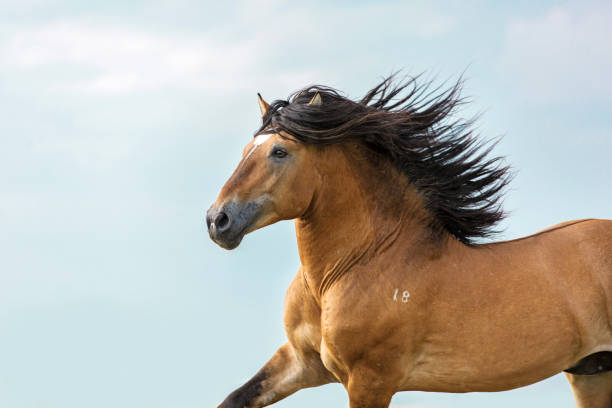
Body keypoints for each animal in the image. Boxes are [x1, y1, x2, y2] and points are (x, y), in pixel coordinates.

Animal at [207, 76, 612, 408]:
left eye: (280, 152)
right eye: (245, 151)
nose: (217, 220)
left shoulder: (370, 380)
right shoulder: (301, 361)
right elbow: (235, 398)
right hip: (591, 373)